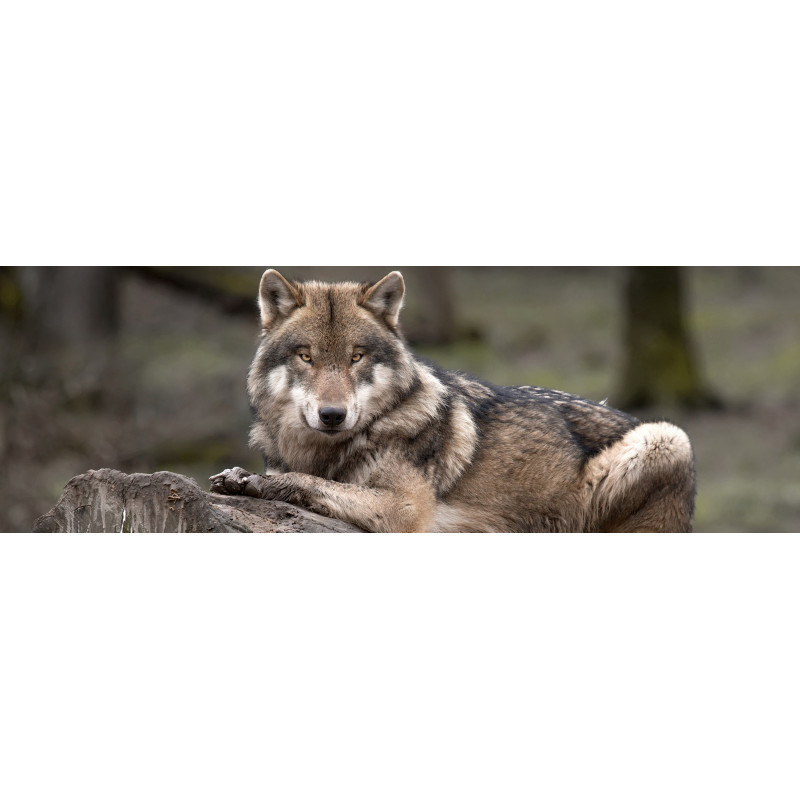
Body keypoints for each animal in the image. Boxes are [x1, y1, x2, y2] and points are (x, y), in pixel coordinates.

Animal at [210, 270, 696, 532]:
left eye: (356, 357)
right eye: (306, 357)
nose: (333, 415)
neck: (323, 452)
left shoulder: (404, 509)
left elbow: (308, 483)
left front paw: (252, 482)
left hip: (668, 437)